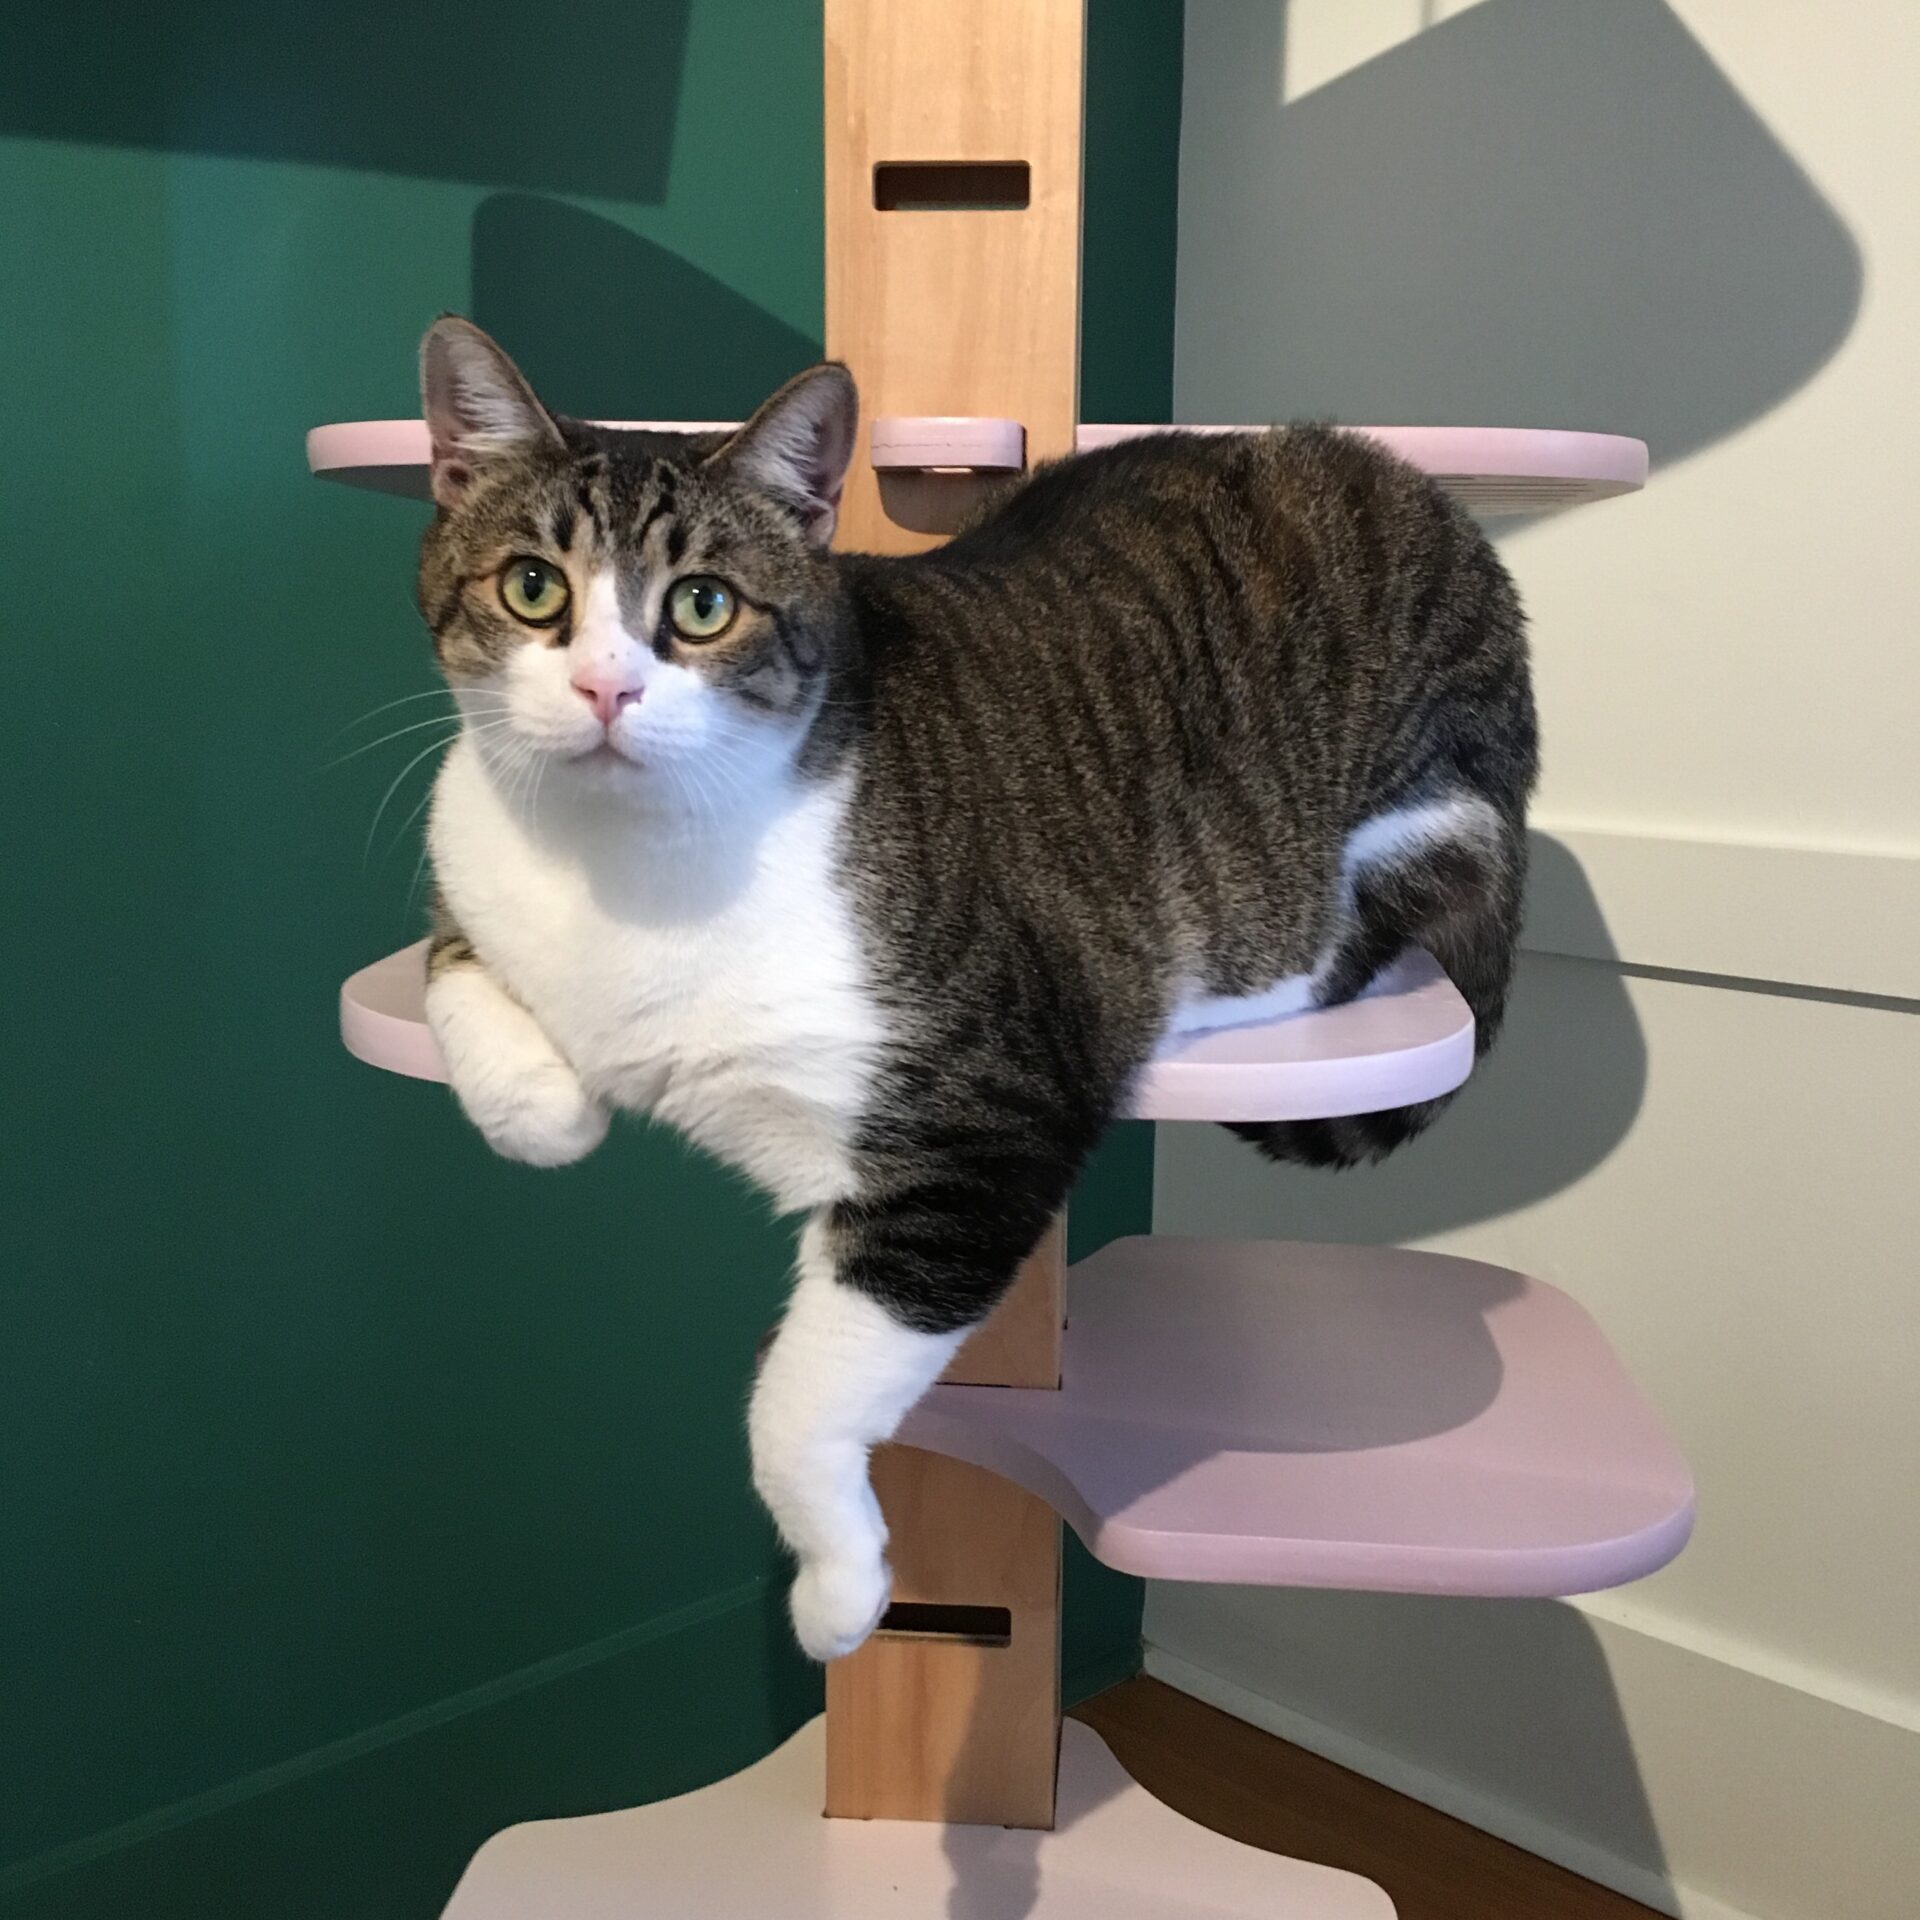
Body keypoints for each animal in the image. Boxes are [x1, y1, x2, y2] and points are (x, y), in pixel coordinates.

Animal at [412, 318, 1536, 1666]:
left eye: (702, 605)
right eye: (534, 587)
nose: (605, 691)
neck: (623, 868)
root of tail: (1414, 491)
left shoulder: (983, 1125)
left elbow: (799, 1394)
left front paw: (839, 1591)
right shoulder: (463, 855)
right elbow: (454, 972)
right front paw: (548, 1105)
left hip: (1423, 805)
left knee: (1356, 920)